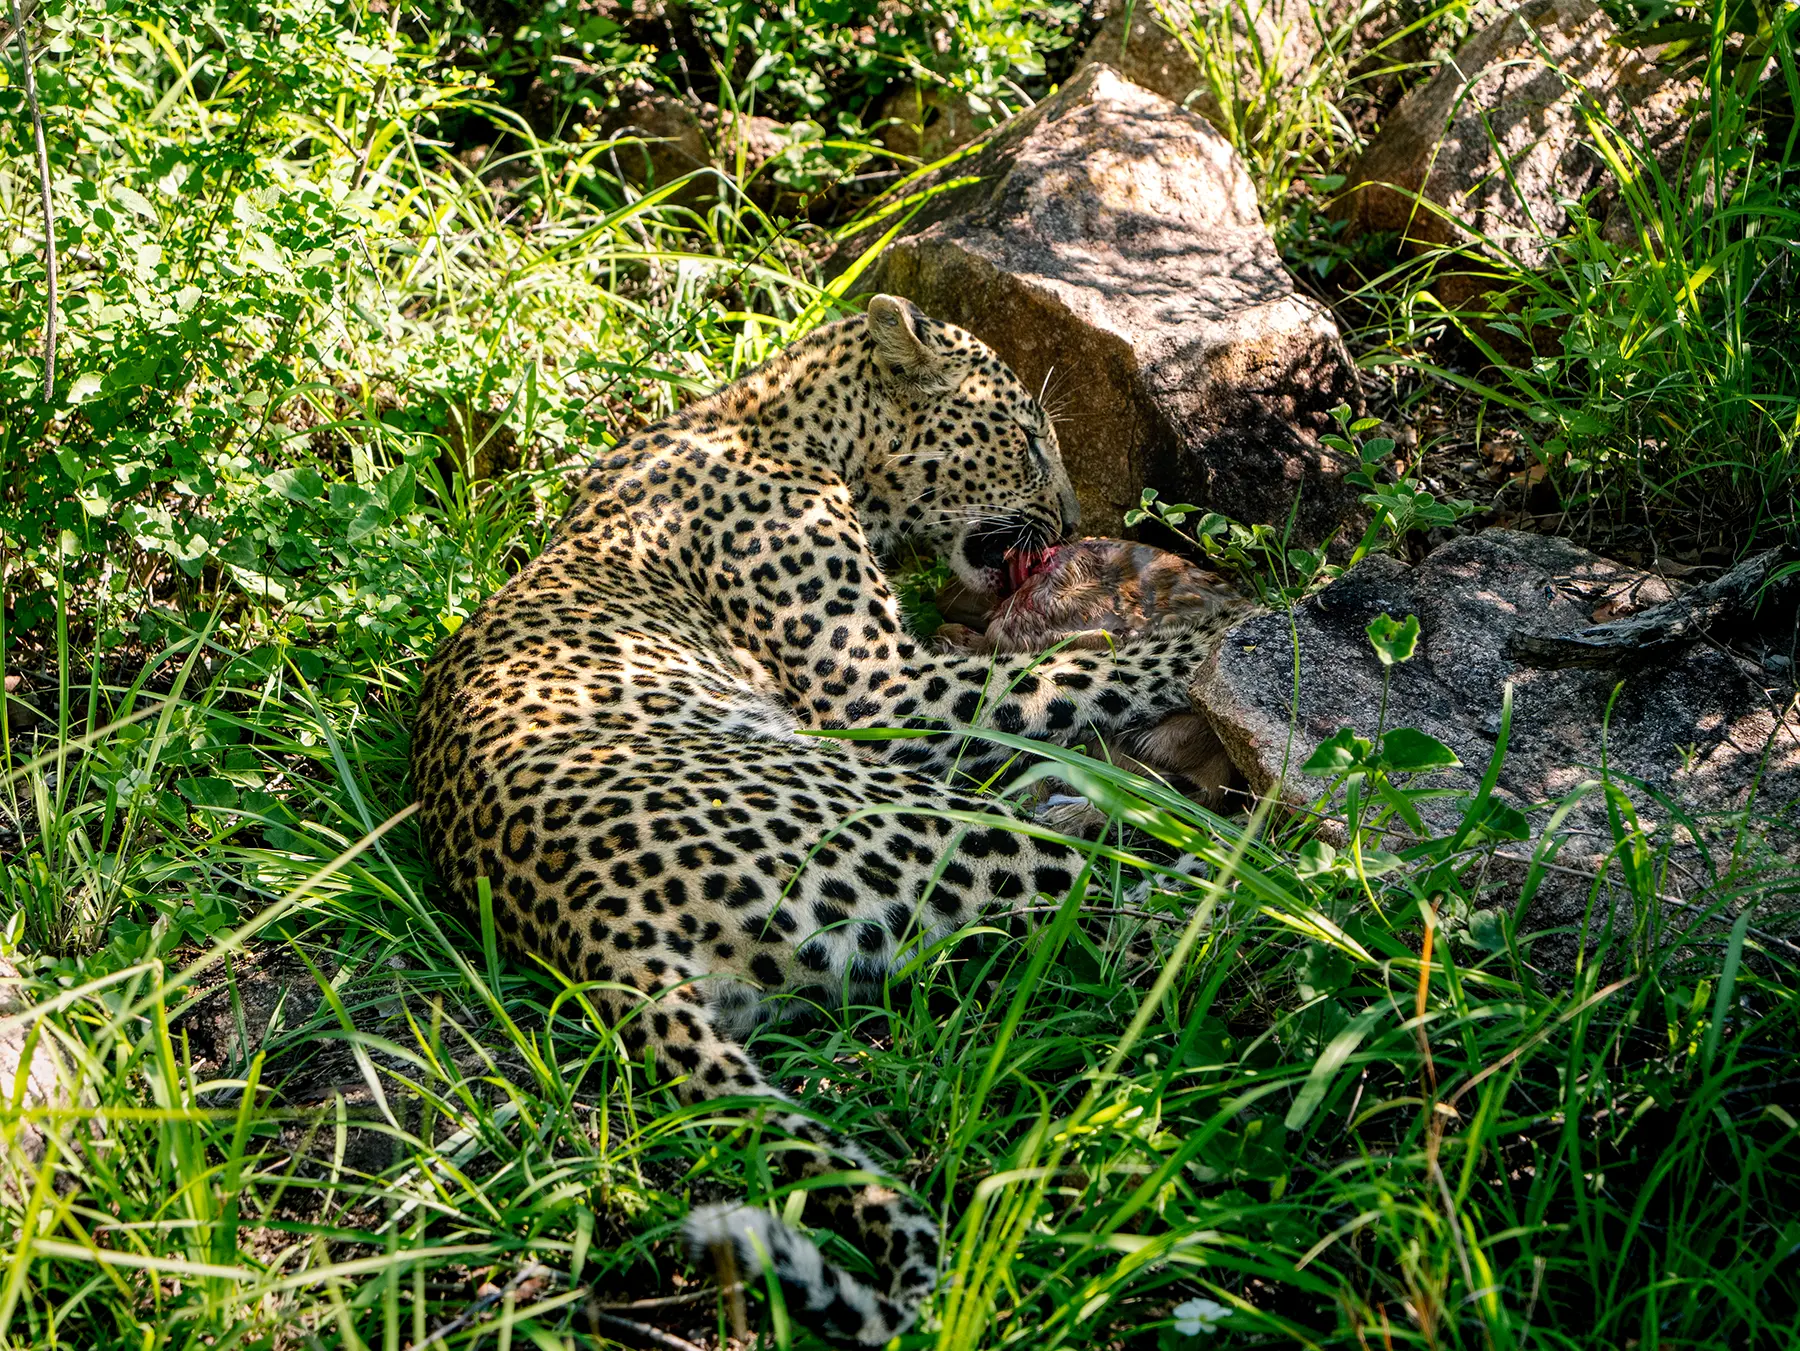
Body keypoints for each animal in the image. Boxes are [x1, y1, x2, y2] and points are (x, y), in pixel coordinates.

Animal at [409, 296, 1247, 1344]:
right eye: (1026, 437)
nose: (1070, 523)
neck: (781, 419)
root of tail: (597, 941)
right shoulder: (878, 688)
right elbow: (1073, 671)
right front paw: (1223, 631)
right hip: (907, 813)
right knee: (1149, 909)